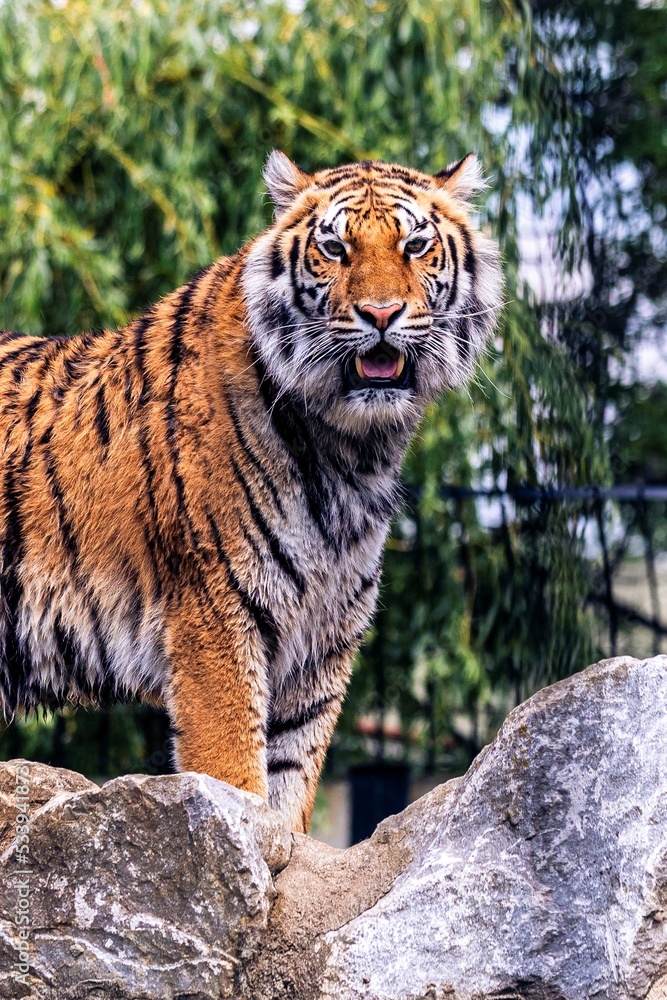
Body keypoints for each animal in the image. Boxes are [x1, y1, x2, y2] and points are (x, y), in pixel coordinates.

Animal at [0, 152, 502, 833]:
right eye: (335, 248)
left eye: (415, 246)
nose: (380, 314)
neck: (351, 448)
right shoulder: (214, 617)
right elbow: (234, 776)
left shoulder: (322, 639)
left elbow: (289, 786)